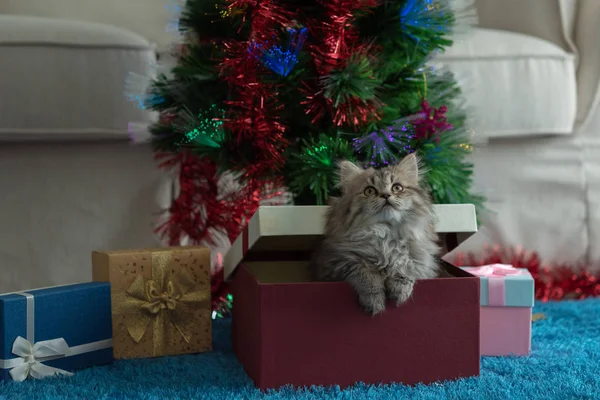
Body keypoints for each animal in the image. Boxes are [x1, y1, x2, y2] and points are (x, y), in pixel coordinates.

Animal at [312, 153, 438, 316]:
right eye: (369, 191)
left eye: (397, 187)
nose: (386, 195)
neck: (386, 235)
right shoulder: (339, 262)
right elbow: (366, 275)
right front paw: (375, 302)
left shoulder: (419, 260)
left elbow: (405, 266)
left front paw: (399, 292)